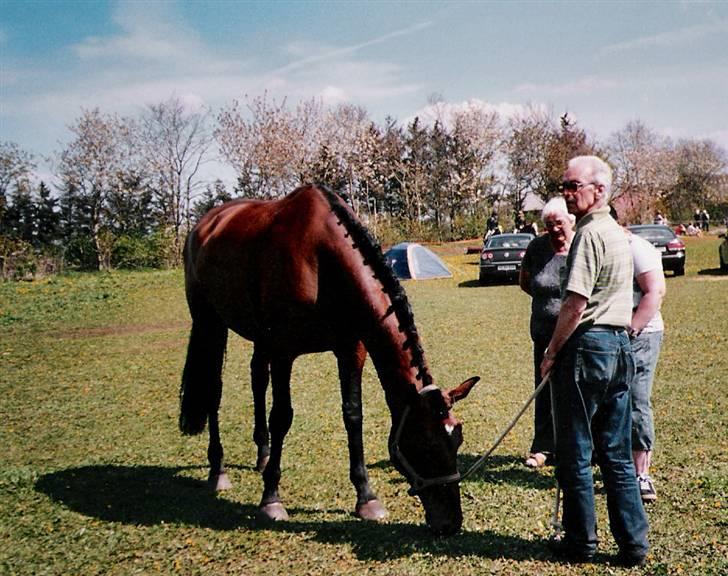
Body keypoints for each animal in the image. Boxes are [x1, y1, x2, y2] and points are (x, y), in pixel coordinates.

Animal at [181, 184, 478, 536]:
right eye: (425, 444)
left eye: (457, 438)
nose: (451, 522)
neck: (322, 260)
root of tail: (204, 225)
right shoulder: (283, 351)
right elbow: (281, 416)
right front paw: (271, 499)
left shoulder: (351, 349)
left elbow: (353, 415)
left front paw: (366, 497)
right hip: (210, 322)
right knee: (213, 389)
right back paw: (218, 470)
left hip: (258, 337)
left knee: (257, 379)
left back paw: (263, 454)